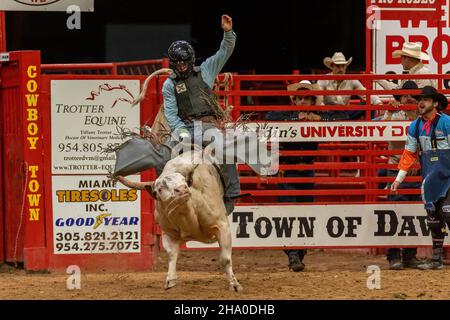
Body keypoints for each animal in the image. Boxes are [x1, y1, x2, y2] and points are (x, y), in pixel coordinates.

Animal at [117, 151, 243, 292]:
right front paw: (170, 280)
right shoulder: (168, 233)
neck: (186, 214)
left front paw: (234, 284)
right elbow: (172, 255)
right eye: (160, 189)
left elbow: (225, 259)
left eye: (184, 181)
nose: (183, 189)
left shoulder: (222, 226)